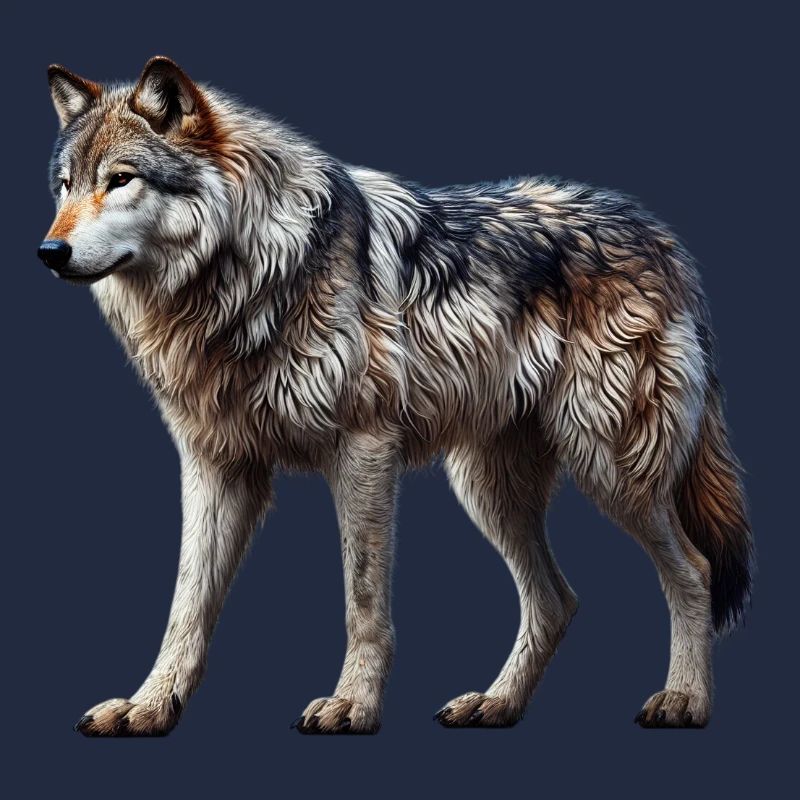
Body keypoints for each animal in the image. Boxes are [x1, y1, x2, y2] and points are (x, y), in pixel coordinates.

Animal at [40, 57, 753, 736]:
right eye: (66, 185)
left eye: (121, 179)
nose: (50, 250)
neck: (242, 277)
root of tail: (665, 240)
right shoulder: (216, 464)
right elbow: (186, 605)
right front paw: (148, 707)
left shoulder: (363, 450)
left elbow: (362, 601)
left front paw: (352, 706)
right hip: (488, 488)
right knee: (557, 600)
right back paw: (495, 704)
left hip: (611, 467)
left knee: (694, 571)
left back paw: (684, 700)